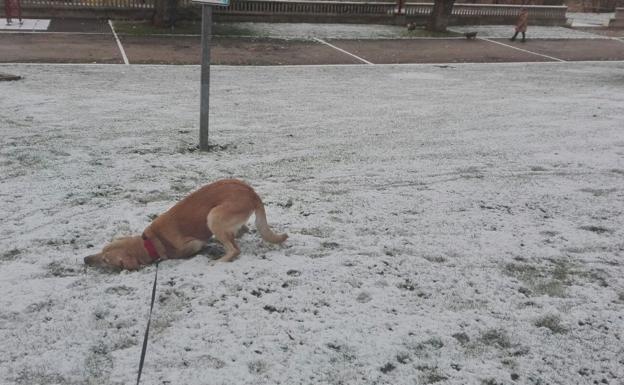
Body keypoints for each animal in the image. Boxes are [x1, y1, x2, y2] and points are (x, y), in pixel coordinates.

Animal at [83, 178, 288, 268]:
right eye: (102, 251)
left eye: (105, 260)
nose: (85, 259)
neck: (151, 242)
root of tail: (251, 192)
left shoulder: (193, 243)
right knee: (241, 231)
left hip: (212, 216)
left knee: (235, 250)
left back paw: (219, 260)